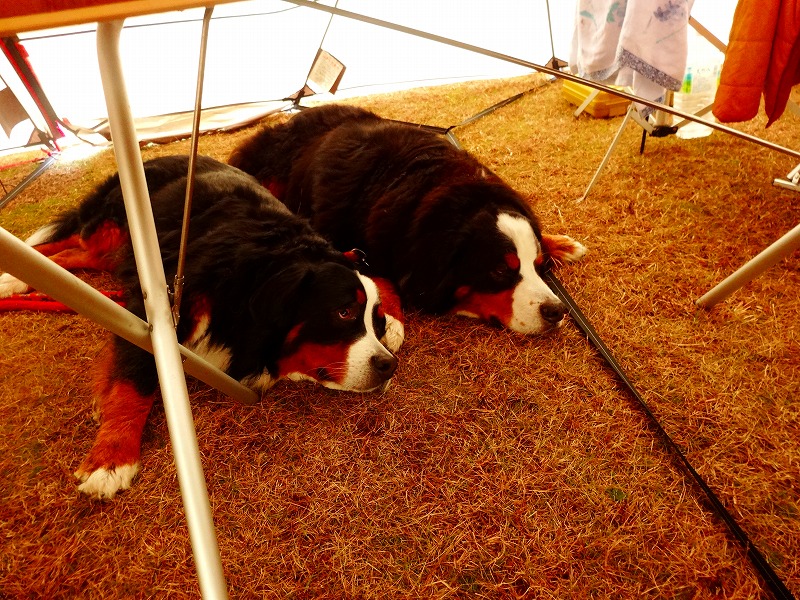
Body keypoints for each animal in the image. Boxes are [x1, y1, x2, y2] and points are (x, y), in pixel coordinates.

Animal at [0, 156, 400, 502]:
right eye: (344, 312)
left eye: (375, 320)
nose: (389, 365)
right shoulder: (155, 308)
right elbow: (136, 383)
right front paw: (111, 459)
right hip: (112, 228)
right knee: (64, 242)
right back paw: (12, 277)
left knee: (73, 255)